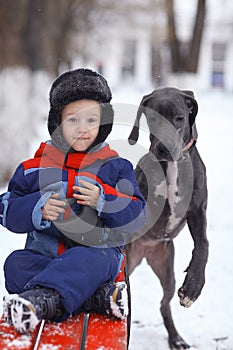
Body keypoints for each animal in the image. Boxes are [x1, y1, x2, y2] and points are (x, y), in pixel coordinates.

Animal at [127, 87, 209, 348]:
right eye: (152, 118)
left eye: (179, 118)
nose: (162, 148)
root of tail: (144, 252)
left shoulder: (197, 211)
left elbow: (203, 245)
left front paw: (193, 286)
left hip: (167, 273)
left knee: (164, 305)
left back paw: (176, 338)